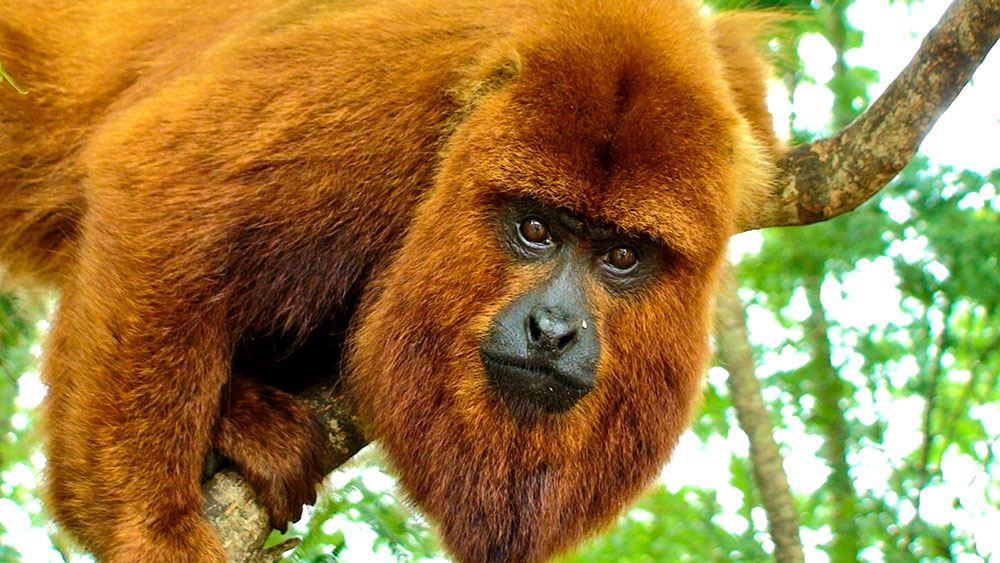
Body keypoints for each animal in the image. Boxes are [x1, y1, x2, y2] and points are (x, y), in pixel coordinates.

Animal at [0, 0, 779, 561]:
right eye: (535, 228)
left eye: (621, 256)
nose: (552, 330)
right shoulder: (388, 86)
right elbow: (156, 179)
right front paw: (152, 531)